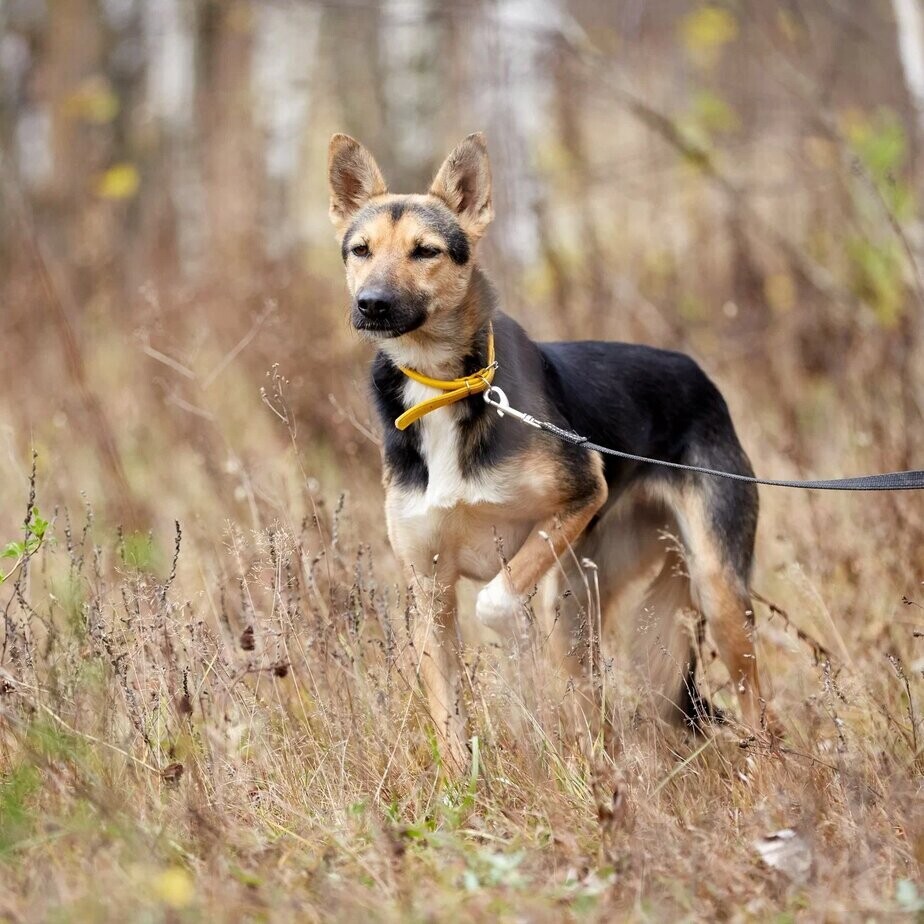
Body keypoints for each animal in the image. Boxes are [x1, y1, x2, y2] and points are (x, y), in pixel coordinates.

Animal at [328, 134, 776, 768]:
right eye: (360, 250)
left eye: (426, 252)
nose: (371, 304)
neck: (446, 387)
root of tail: (700, 376)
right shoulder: (429, 590)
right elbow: (448, 719)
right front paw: (460, 785)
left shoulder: (582, 492)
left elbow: (497, 600)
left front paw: (517, 645)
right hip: (588, 593)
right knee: (595, 704)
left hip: (712, 588)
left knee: (760, 712)